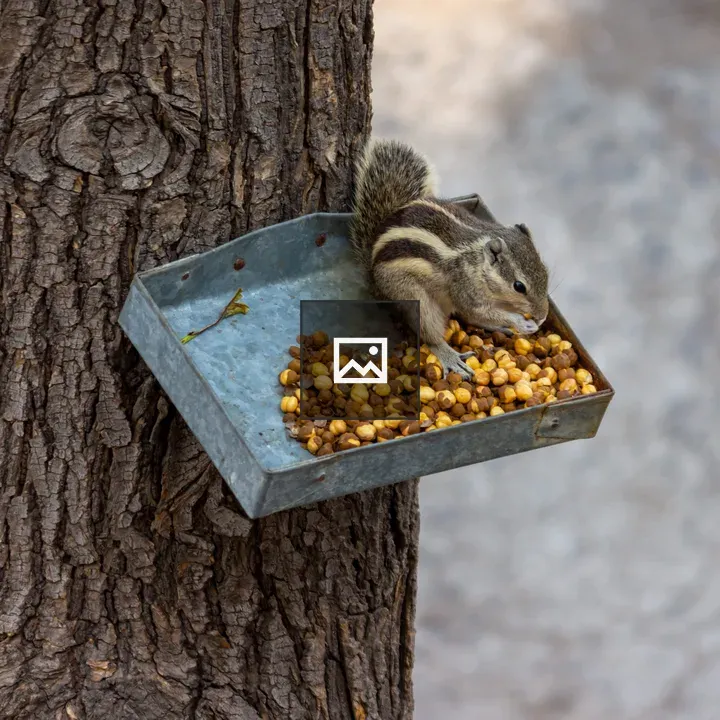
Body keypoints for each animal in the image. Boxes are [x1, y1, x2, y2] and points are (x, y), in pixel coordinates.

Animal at [349, 138, 549, 380]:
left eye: (546, 273)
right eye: (519, 286)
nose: (543, 316)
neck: (477, 264)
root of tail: (374, 280)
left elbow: (481, 313)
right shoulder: (465, 289)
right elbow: (478, 310)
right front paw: (522, 322)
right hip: (413, 297)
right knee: (430, 333)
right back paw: (450, 356)